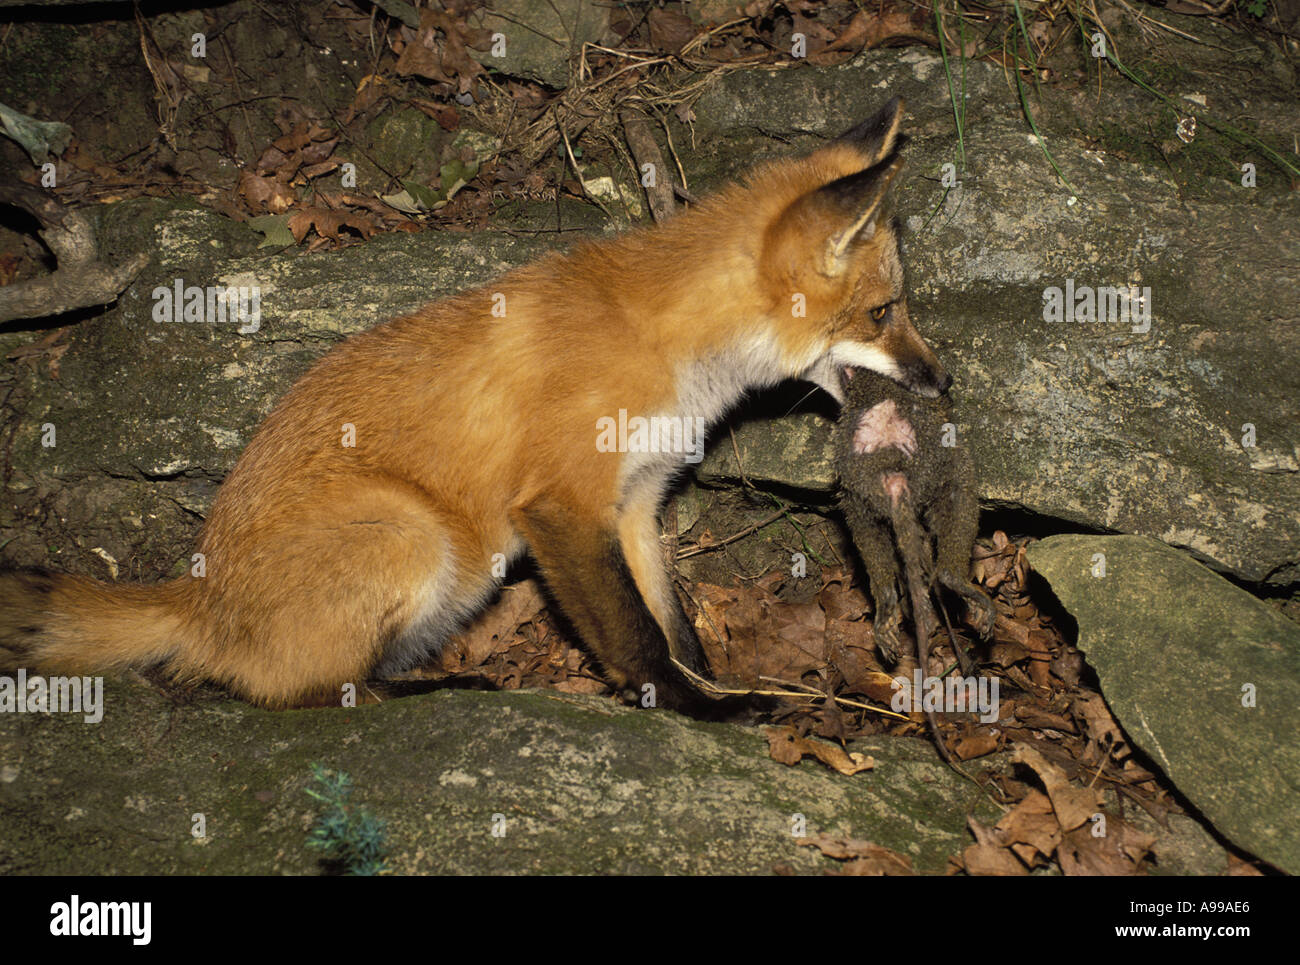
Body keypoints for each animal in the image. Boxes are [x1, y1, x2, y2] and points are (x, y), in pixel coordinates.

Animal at [0, 98, 951, 712]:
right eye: (883, 311)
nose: (944, 382)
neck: (663, 341)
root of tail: (198, 594)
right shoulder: (561, 503)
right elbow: (636, 638)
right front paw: (706, 711)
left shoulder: (635, 502)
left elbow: (674, 624)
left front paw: (713, 687)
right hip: (414, 537)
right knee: (291, 690)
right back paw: (434, 685)